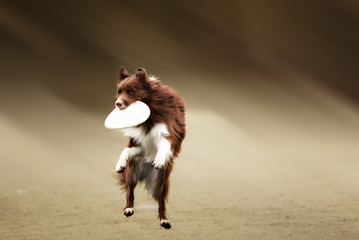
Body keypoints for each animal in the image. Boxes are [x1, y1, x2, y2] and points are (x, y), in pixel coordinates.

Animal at [113, 66, 187, 230]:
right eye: (119, 91)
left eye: (131, 91)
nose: (118, 103)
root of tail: (145, 174)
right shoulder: (139, 145)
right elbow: (125, 150)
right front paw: (119, 164)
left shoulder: (168, 132)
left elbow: (165, 144)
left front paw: (159, 160)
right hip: (133, 169)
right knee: (130, 192)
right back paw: (128, 209)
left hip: (162, 181)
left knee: (161, 204)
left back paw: (164, 220)